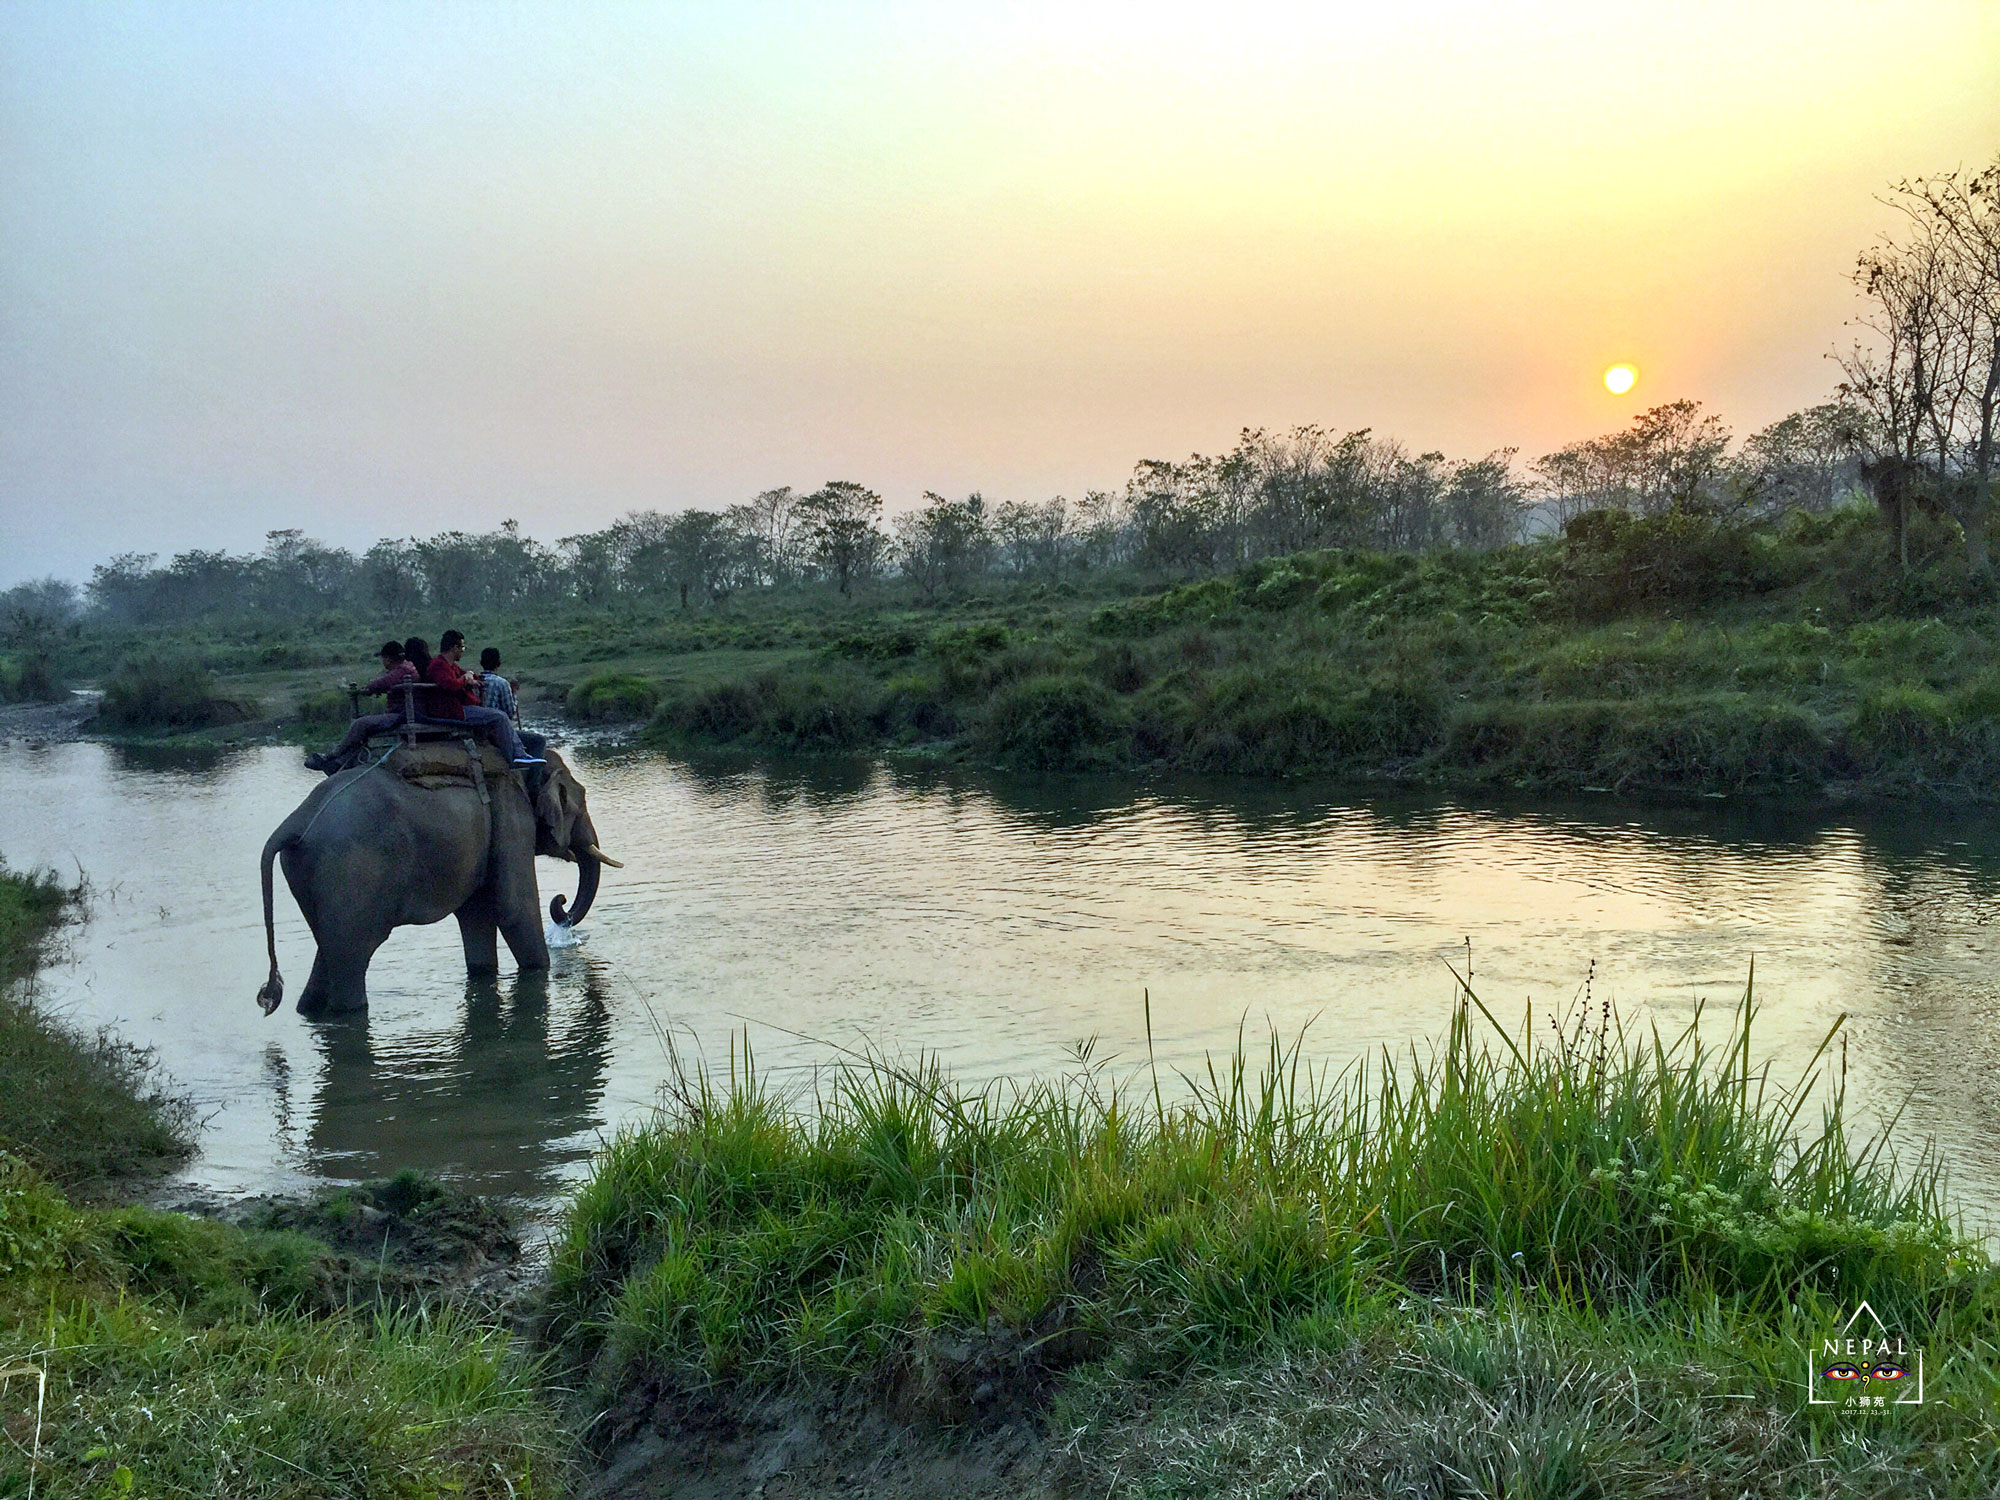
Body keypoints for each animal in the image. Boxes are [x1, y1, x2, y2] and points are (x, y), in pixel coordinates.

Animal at [256, 744, 616, 1024]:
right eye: (580, 801)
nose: (562, 905)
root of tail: (294, 823)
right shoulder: (510, 812)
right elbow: (514, 908)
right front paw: (541, 972)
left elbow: (476, 914)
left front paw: (484, 976)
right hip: (349, 873)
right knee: (351, 959)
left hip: (312, 875)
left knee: (326, 953)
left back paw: (311, 1012)